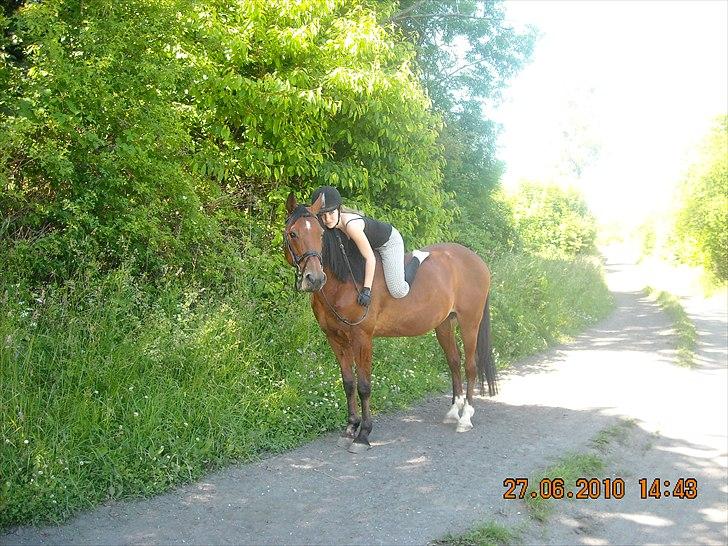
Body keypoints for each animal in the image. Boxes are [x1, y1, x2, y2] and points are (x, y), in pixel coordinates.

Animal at [282, 191, 494, 450]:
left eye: (320, 235)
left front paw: (363, 435)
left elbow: (364, 386)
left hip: (469, 323)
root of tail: (477, 260)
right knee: (454, 362)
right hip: (444, 324)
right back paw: (454, 411)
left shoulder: (362, 338)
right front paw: (349, 429)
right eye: (293, 233)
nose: (314, 278)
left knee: (471, 366)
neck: (346, 281)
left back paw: (465, 418)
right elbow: (348, 383)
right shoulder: (335, 338)